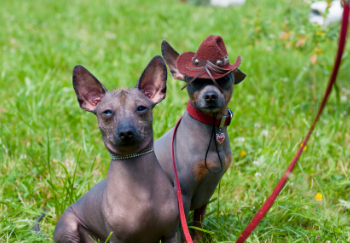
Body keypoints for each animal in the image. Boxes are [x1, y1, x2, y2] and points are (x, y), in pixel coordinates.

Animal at [55, 56, 182, 242]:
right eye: (107, 112)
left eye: (141, 108)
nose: (126, 132)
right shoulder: (117, 239)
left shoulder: (172, 234)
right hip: (69, 229)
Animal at [153, 35, 246, 242]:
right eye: (195, 82)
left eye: (225, 79)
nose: (210, 95)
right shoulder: (184, 195)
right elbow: (182, 230)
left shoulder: (206, 192)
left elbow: (197, 225)